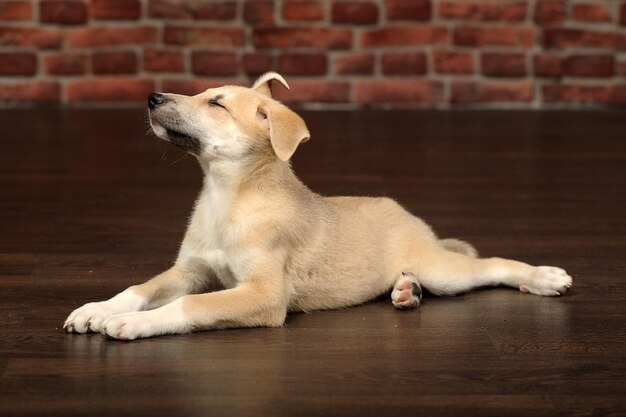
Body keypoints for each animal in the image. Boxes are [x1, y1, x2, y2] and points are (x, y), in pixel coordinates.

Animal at [63, 73, 572, 340]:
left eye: (216, 104)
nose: (151, 97)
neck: (229, 196)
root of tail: (411, 219)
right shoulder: (189, 269)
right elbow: (142, 286)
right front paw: (98, 308)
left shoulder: (264, 296)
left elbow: (189, 304)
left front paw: (130, 322)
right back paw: (405, 290)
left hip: (446, 271)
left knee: (490, 265)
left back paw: (543, 277)